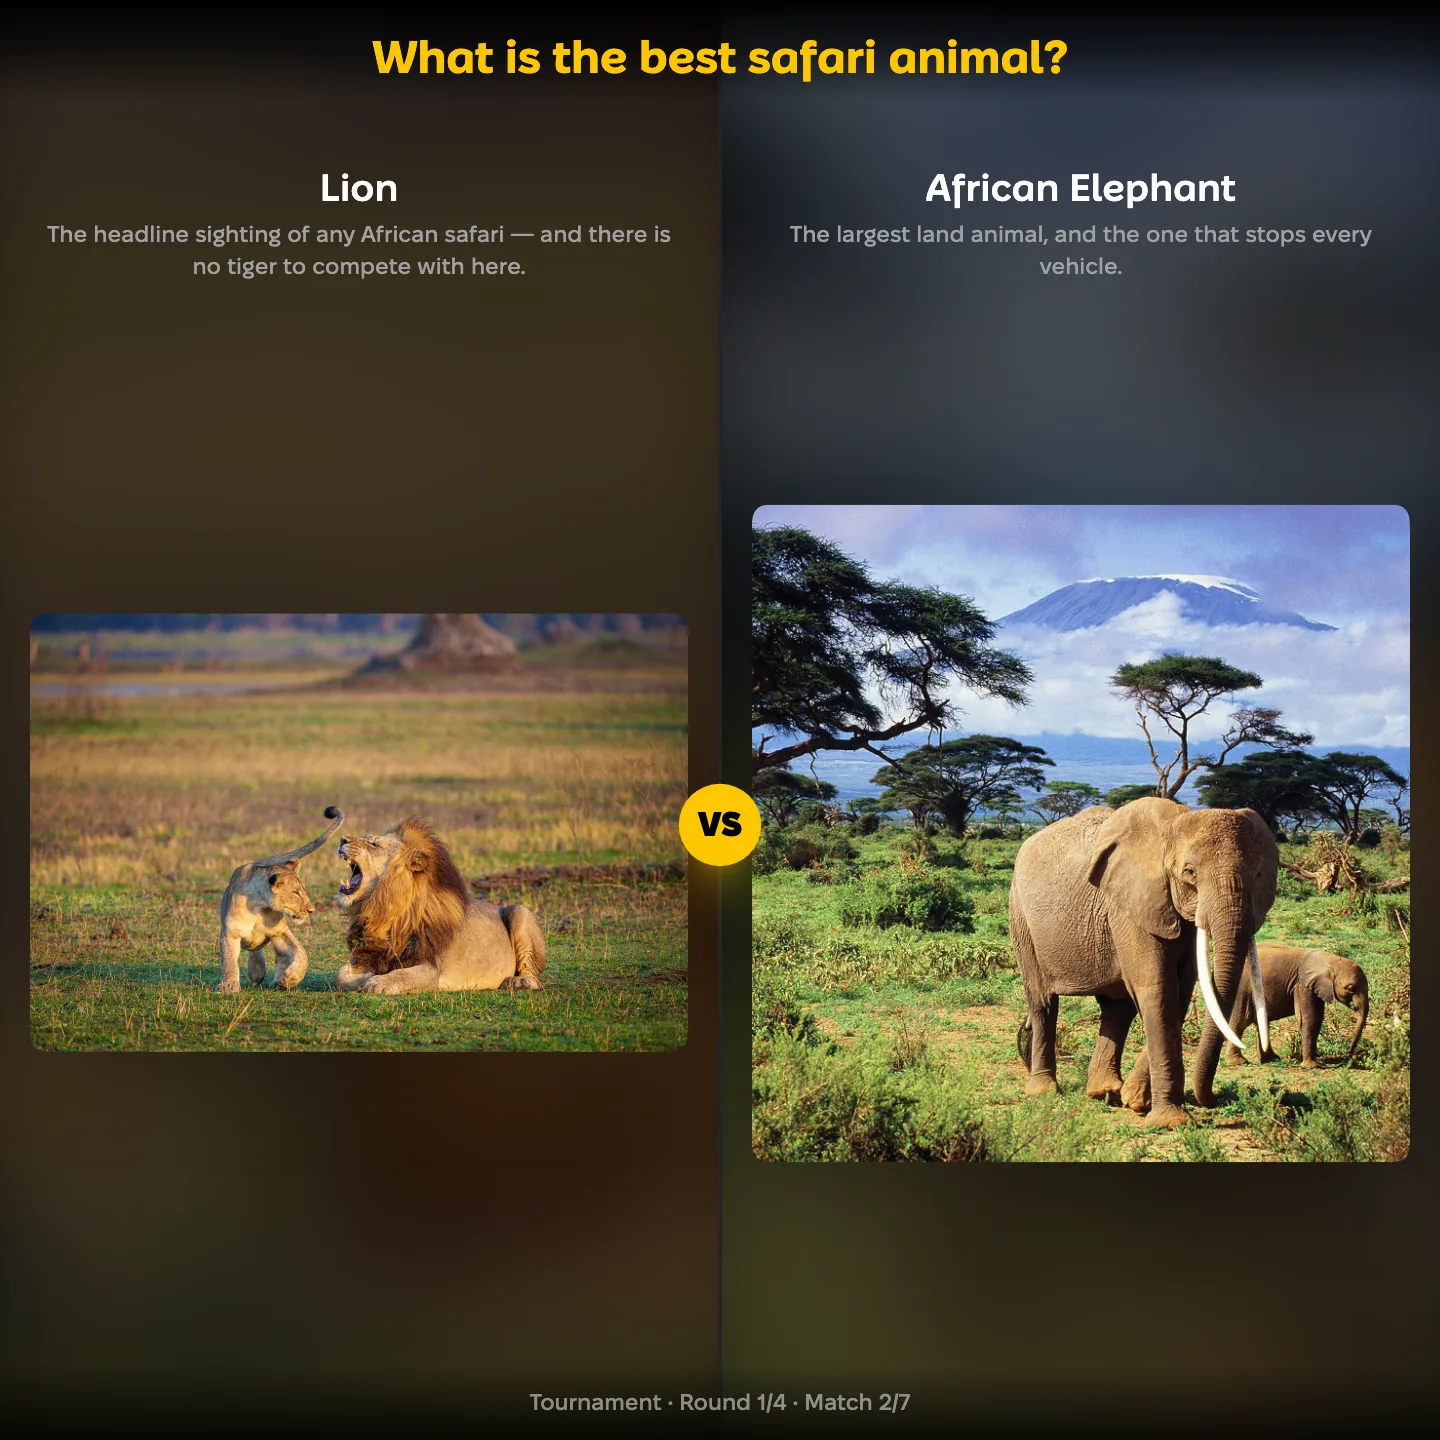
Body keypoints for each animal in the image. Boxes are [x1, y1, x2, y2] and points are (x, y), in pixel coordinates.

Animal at [216, 806, 344, 993]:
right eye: (296, 893)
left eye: (303, 891)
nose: (311, 910)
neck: (259, 906)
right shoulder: (230, 933)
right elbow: (229, 961)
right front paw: (228, 986)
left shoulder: (279, 932)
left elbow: (302, 954)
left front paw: (289, 979)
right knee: (253, 950)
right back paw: (257, 972)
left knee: (279, 957)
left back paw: (275, 980)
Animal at [333, 817, 546, 994]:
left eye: (374, 844)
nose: (342, 839)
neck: (385, 909)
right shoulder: (368, 954)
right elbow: (341, 974)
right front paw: (364, 978)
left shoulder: (431, 968)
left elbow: (401, 975)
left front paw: (378, 981)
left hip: (519, 911)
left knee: (534, 977)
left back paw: (518, 981)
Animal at [1010, 797, 1278, 1128]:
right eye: (1189, 873)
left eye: (1258, 876)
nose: (1213, 1100)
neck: (1173, 827)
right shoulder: (1130, 903)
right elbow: (1159, 989)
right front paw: (1169, 1121)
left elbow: (1180, 991)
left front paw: (1137, 1101)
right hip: (1021, 916)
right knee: (1043, 1001)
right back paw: (1044, 1091)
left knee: (1117, 1007)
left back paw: (1105, 1092)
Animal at [1223, 945, 1368, 1069]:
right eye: (1350, 988)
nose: (1350, 1055)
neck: (1330, 960)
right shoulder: (1302, 985)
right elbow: (1309, 1019)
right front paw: (1312, 1066)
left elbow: (1317, 1018)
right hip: (1243, 988)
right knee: (1241, 1020)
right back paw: (1238, 1062)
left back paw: (1271, 1059)